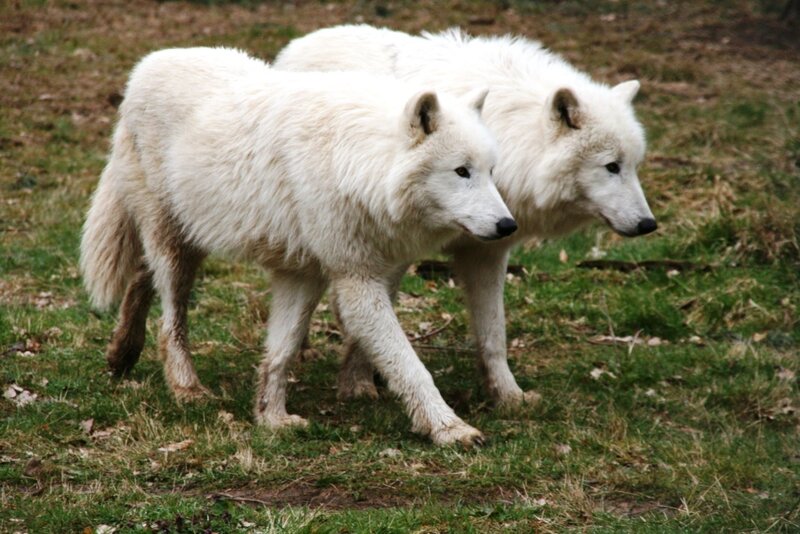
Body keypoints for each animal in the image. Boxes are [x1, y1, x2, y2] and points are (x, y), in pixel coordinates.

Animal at [80, 47, 517, 446]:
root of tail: (144, 67)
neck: (357, 164)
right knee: (170, 320)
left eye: (491, 171)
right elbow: (410, 365)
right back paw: (186, 389)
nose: (508, 225)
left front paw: (270, 418)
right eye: (461, 171)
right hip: (176, 249)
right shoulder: (355, 283)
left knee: (143, 275)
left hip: (190, 237)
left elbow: (281, 351)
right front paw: (450, 428)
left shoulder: (304, 274)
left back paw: (121, 354)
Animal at [275, 25, 657, 408]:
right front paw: (357, 383)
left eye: (634, 166)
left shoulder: (487, 251)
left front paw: (508, 395)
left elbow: (494, 334)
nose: (649, 224)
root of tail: (300, 42)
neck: (510, 134)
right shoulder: (394, 250)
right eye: (611, 166)